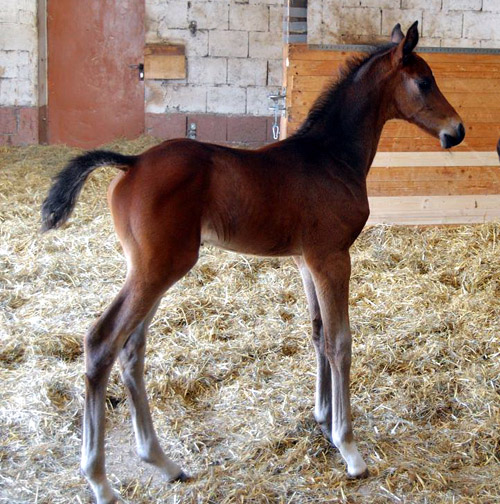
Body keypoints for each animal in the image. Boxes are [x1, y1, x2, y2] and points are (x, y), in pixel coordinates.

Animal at [43, 23, 464, 504]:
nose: (458, 131)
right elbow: (340, 342)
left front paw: (323, 420)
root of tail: (130, 162)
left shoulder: (306, 261)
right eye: (424, 81)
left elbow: (318, 334)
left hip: (152, 270)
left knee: (131, 349)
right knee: (102, 342)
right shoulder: (333, 257)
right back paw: (100, 480)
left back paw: (164, 463)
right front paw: (349, 447)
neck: (331, 156)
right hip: (158, 269)